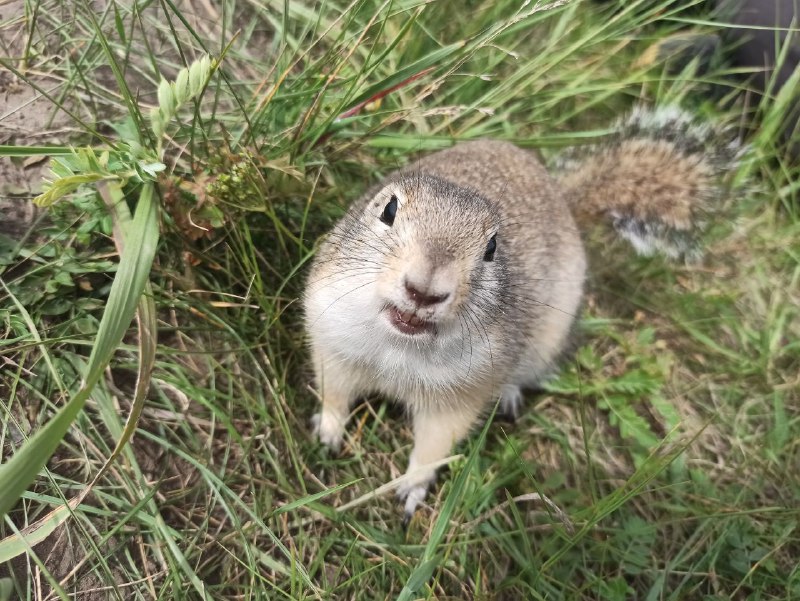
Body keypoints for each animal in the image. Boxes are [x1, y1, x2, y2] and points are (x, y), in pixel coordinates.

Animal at [302, 106, 739, 521]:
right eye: (389, 209)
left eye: (493, 247)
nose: (423, 291)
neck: (400, 343)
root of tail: (562, 199)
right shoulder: (334, 342)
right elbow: (334, 393)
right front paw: (327, 432)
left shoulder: (460, 394)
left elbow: (436, 443)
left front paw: (412, 486)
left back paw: (510, 393)